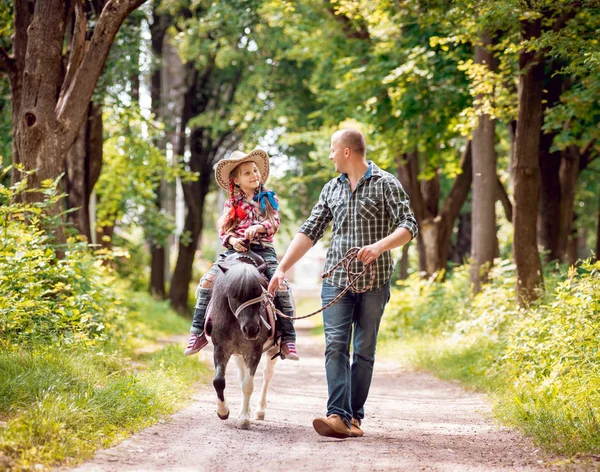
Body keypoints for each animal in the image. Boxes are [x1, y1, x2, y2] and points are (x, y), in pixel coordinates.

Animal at [207, 251, 280, 428]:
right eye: (234, 295)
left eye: (260, 294)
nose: (252, 329)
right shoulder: (220, 348)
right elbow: (218, 381)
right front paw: (223, 411)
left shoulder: (254, 351)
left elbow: (248, 385)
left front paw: (244, 419)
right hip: (238, 354)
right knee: (242, 375)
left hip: (272, 350)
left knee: (267, 375)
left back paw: (260, 411)